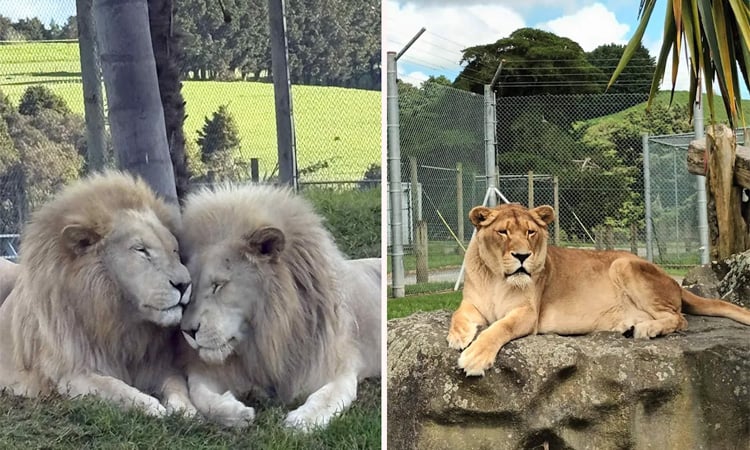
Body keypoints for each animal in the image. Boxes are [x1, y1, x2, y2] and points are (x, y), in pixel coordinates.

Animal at [0, 171, 196, 416]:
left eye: (174, 250)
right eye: (141, 250)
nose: (185, 284)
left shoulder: (158, 365)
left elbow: (177, 384)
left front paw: (185, 408)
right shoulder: (70, 374)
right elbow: (113, 386)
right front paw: (150, 405)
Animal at [178, 184, 381, 430]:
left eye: (218, 285)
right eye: (190, 286)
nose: (187, 331)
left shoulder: (338, 365)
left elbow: (326, 396)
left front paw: (302, 421)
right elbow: (198, 391)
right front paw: (235, 413)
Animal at [447, 203, 750, 376]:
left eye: (531, 232)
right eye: (503, 232)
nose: (522, 256)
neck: (498, 278)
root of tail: (673, 280)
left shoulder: (528, 314)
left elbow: (499, 328)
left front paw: (474, 357)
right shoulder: (473, 302)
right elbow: (458, 314)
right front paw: (458, 336)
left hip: (624, 264)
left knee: (680, 318)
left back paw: (647, 329)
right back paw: (629, 326)